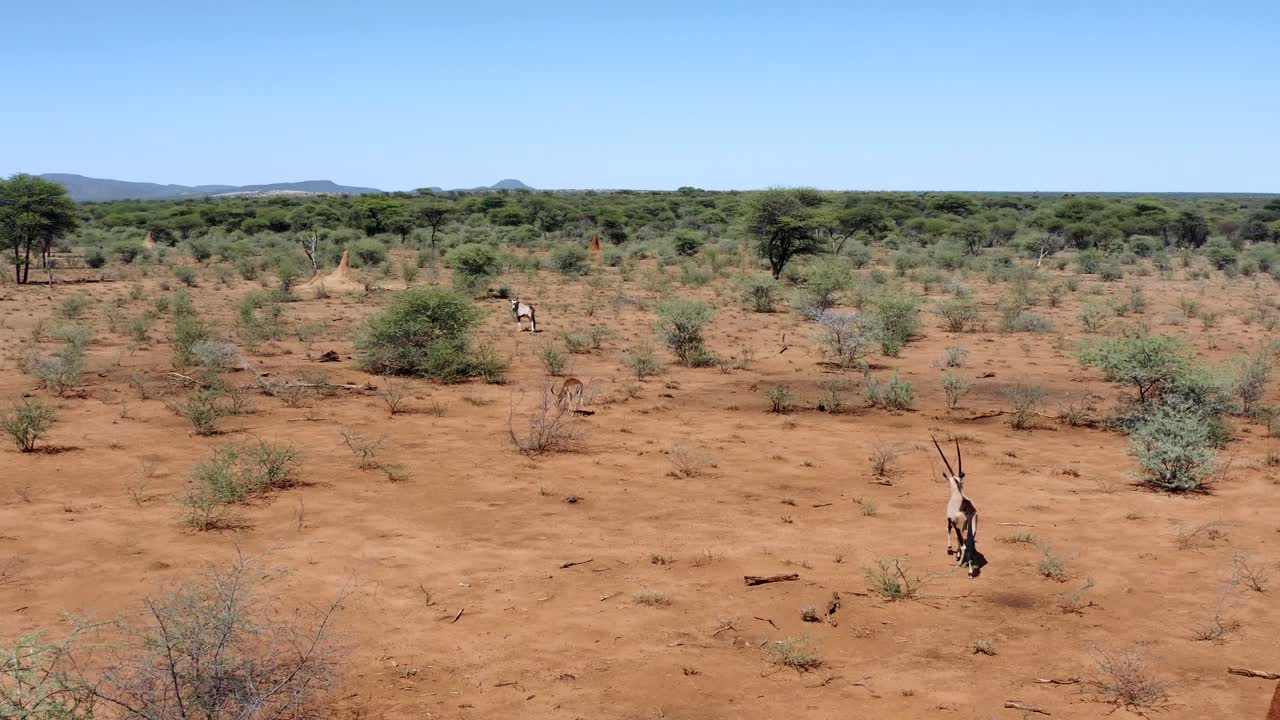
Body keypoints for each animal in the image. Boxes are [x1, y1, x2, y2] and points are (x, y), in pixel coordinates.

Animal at [932, 435, 979, 578]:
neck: (958, 491)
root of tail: (967, 508)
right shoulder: (963, 527)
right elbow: (961, 539)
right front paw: (957, 555)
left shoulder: (950, 520)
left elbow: (948, 530)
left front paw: (950, 549)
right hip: (973, 527)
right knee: (969, 544)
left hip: (959, 525)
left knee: (965, 545)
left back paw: (966, 570)